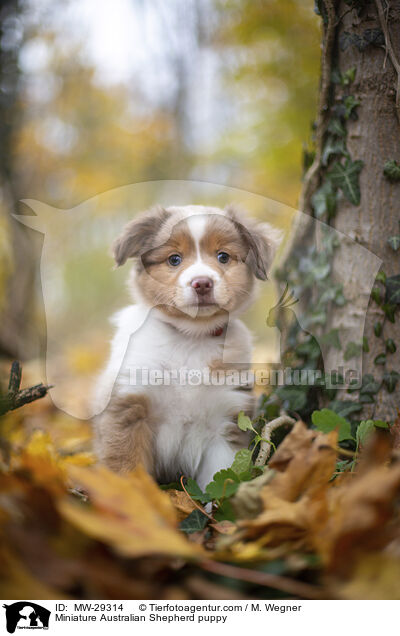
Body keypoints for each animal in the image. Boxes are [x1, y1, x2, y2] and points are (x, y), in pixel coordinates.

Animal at [94, 206, 282, 490]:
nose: (202, 283)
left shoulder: (224, 421)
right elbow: (125, 469)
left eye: (223, 257)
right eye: (174, 259)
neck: (191, 338)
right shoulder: (130, 405)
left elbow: (221, 479)